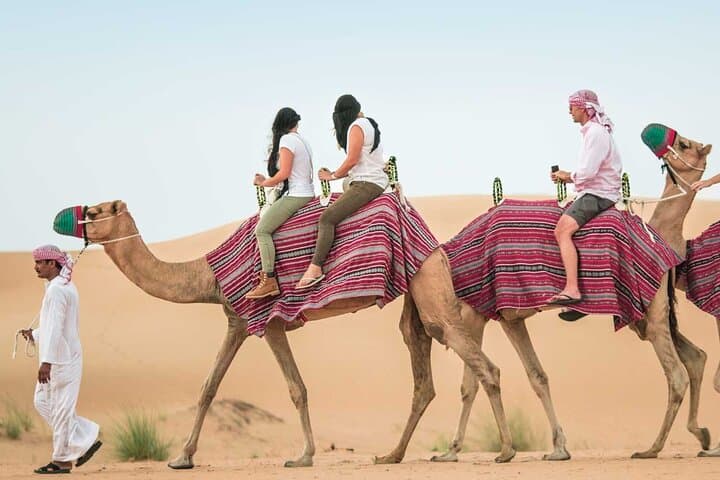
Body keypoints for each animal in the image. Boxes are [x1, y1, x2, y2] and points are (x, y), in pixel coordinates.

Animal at [77, 199, 518, 469]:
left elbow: (291, 388)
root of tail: (435, 243)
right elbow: (213, 386)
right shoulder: (244, 322)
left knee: (484, 366)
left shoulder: (263, 321)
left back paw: (506, 451)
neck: (208, 275)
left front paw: (303, 455)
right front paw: (183, 457)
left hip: (429, 285)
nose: (72, 218)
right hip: (417, 292)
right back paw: (391, 455)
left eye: (95, 211)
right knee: (423, 372)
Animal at [426, 126, 714, 462]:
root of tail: (665, 250)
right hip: (651, 316)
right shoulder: (507, 316)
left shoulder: (477, 311)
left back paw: (651, 449)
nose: (656, 136)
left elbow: (471, 383)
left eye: (684, 144)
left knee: (676, 374)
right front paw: (558, 448)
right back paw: (701, 435)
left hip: (649, 313)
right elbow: (536, 376)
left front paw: (462, 451)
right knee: (695, 357)